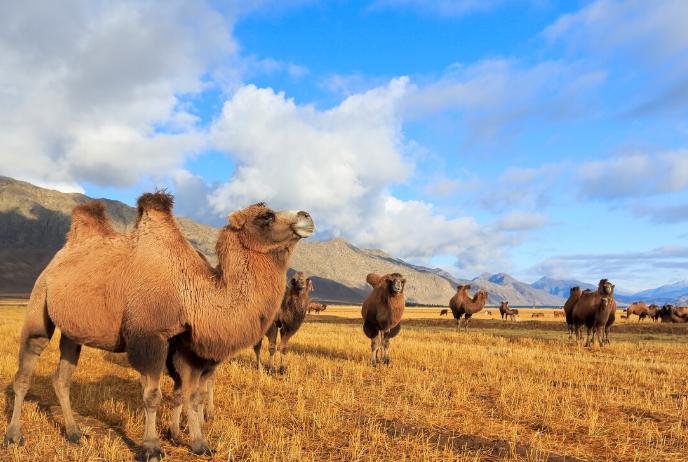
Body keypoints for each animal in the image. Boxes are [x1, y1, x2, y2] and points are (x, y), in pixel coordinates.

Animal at [3, 195, 314, 459]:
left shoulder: (186, 346)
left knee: (62, 378)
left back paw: (74, 433)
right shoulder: (150, 338)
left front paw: (199, 444)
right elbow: (153, 396)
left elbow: (193, 396)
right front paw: (152, 448)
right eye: (266, 216)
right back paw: (14, 436)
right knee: (26, 368)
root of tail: (59, 257)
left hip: (73, 330)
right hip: (40, 298)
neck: (190, 291)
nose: (307, 216)